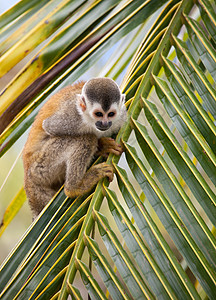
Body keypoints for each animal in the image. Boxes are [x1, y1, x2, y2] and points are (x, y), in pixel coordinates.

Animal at [22, 77, 126, 218]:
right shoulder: (72, 118)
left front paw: (104, 145)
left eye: (111, 114)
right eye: (99, 114)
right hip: (39, 166)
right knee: (86, 139)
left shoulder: (121, 117)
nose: (104, 123)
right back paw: (74, 188)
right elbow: (49, 126)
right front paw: (103, 145)